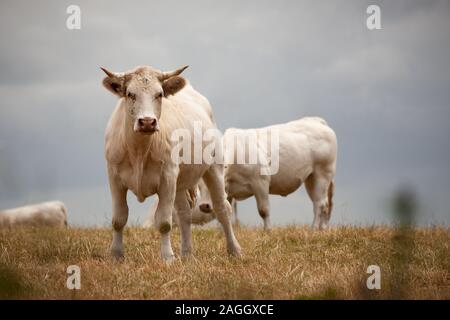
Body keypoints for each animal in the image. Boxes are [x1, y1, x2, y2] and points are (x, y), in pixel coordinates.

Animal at [100, 63, 241, 262]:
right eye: (130, 94)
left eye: (159, 94)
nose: (147, 122)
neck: (139, 150)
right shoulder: (114, 178)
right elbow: (118, 219)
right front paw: (116, 256)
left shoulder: (167, 178)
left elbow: (164, 222)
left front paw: (167, 258)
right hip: (180, 182)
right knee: (184, 214)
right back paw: (187, 254)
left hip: (214, 169)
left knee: (222, 208)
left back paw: (234, 250)